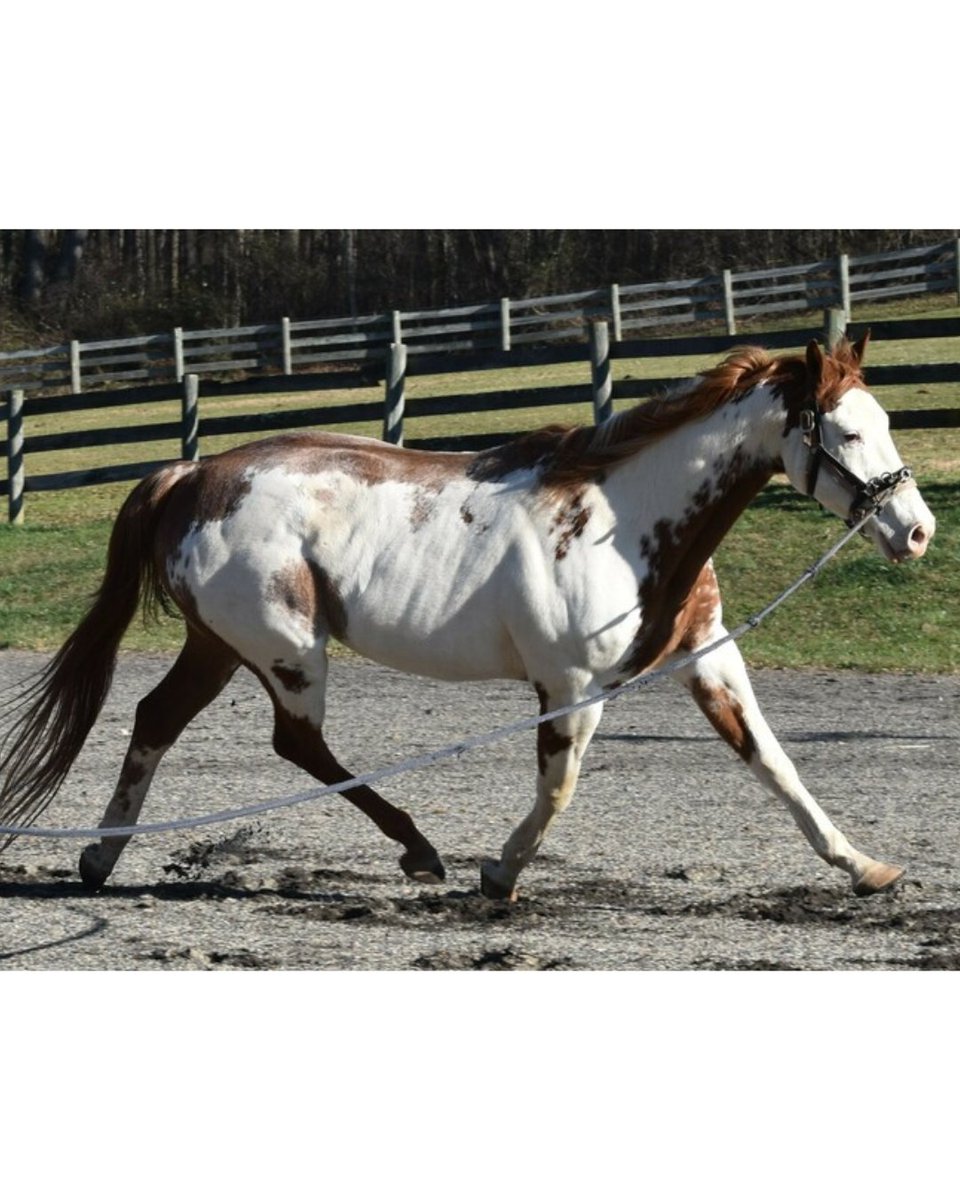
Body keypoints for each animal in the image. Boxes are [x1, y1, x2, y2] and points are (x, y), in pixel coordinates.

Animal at [0, 334, 935, 901]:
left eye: (885, 420)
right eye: (847, 433)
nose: (916, 530)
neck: (624, 518)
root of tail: (192, 474)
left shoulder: (708, 658)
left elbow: (776, 765)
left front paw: (864, 866)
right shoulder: (572, 683)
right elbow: (558, 787)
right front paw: (500, 873)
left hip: (219, 644)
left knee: (156, 719)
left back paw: (101, 855)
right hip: (286, 649)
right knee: (295, 744)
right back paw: (418, 848)